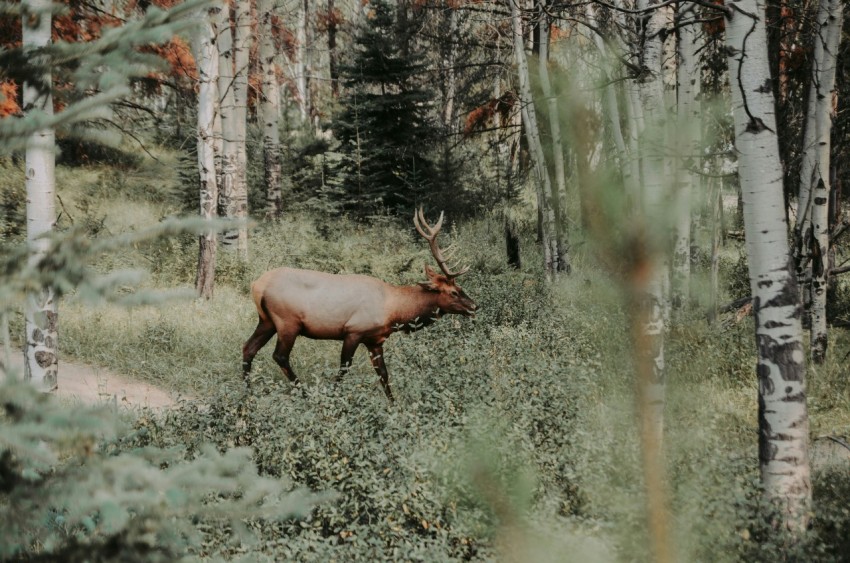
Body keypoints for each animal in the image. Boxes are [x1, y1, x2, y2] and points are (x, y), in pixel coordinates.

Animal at [242, 209, 477, 403]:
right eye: (453, 292)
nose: (474, 306)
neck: (394, 312)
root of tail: (257, 285)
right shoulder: (353, 331)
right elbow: (344, 368)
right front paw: (334, 399)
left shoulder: (375, 340)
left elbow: (384, 374)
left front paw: (394, 406)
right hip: (287, 322)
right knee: (279, 356)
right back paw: (305, 394)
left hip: (266, 321)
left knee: (248, 347)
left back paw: (246, 396)